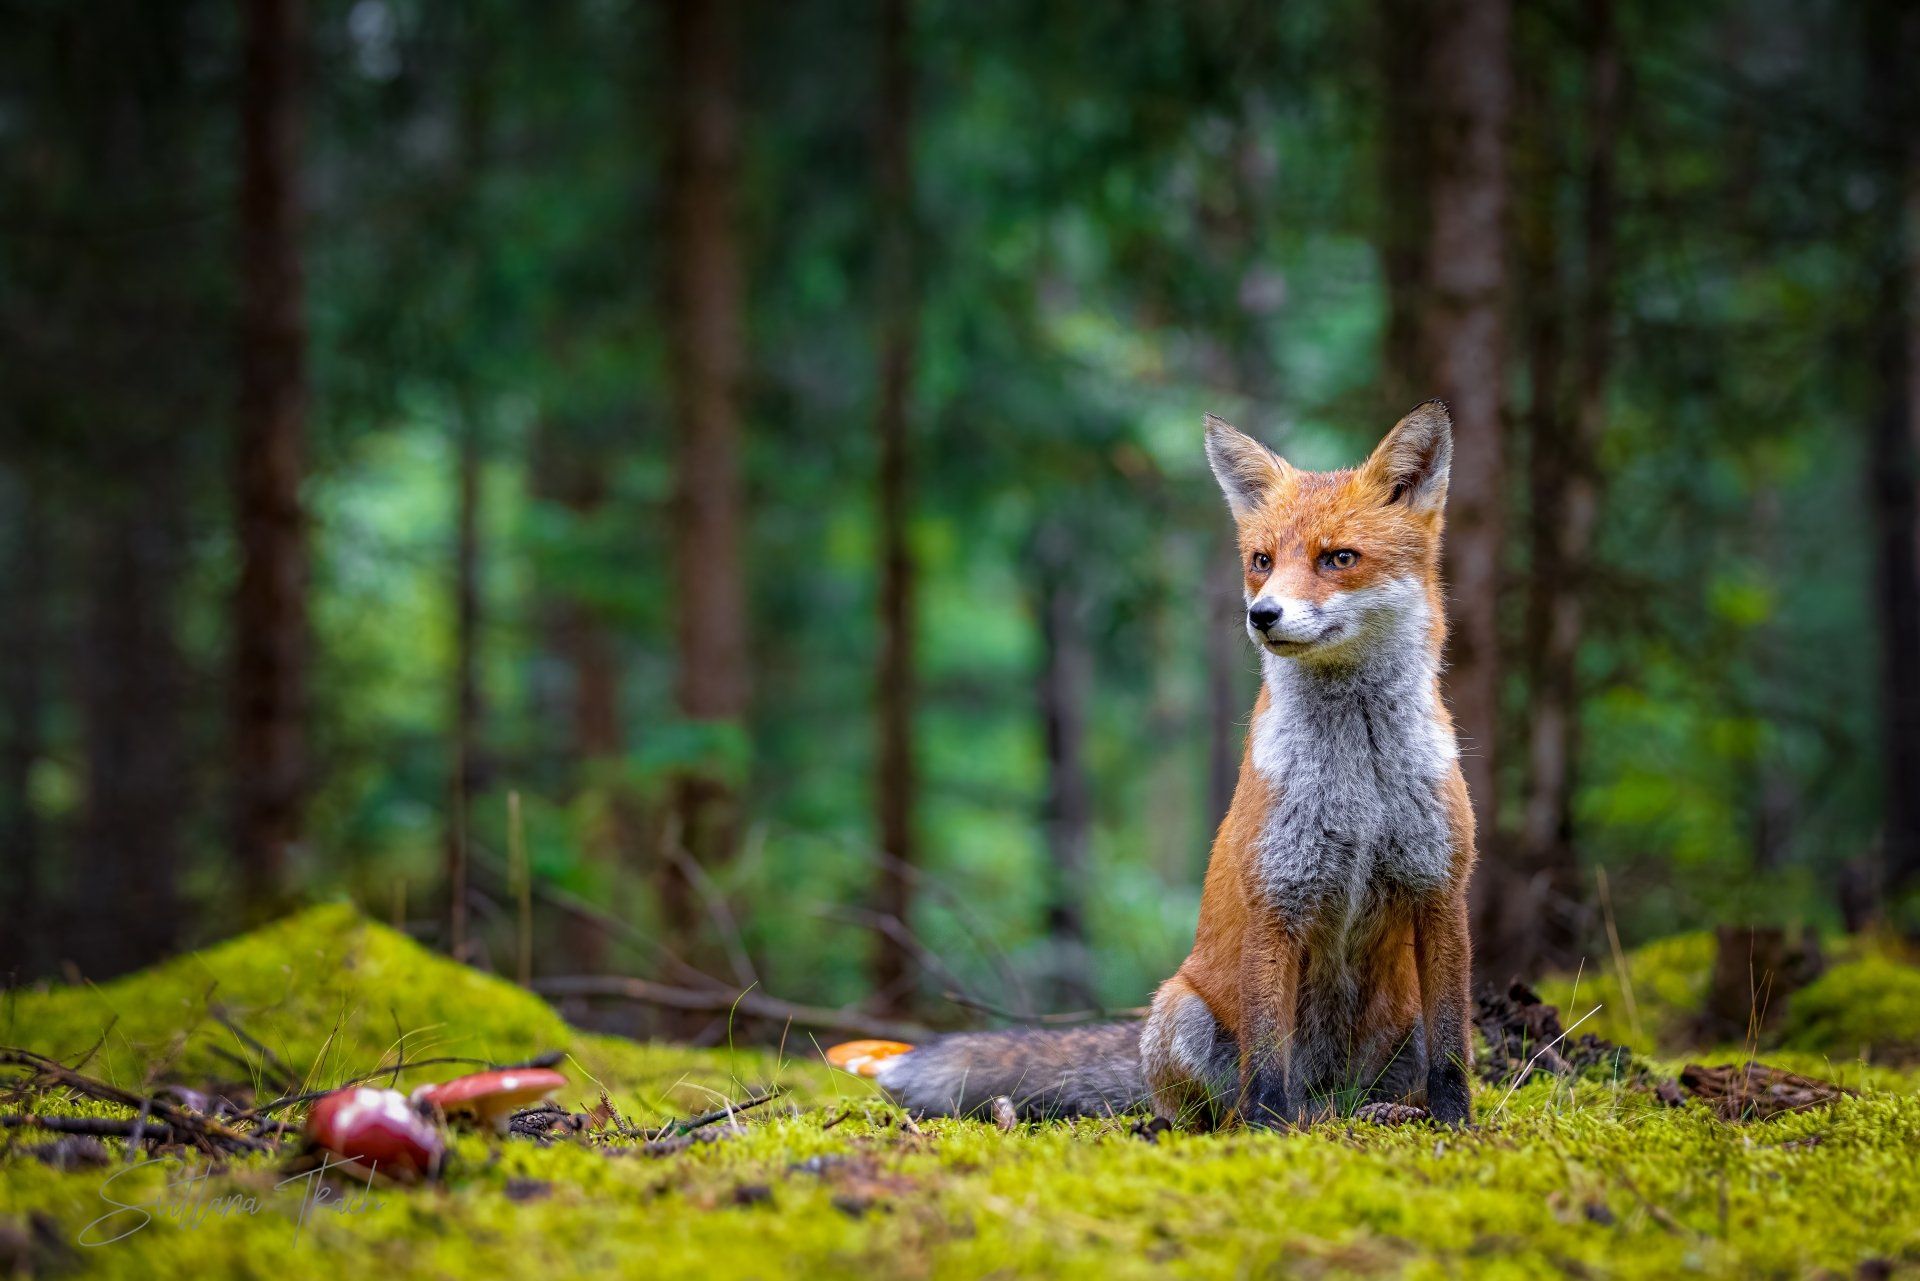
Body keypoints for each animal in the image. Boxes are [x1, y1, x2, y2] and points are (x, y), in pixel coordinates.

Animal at [830, 402, 1476, 1128]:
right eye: (1262, 560)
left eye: (1339, 558)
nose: (1262, 614)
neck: (1359, 777)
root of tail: (1329, 1098)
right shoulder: (1277, 895)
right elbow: (1266, 1060)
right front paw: (1268, 1134)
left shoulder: (1442, 888)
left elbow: (1452, 1050)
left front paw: (1457, 1122)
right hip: (1180, 1010)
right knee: (1218, 1101)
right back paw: (1226, 1123)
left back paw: (1384, 1113)